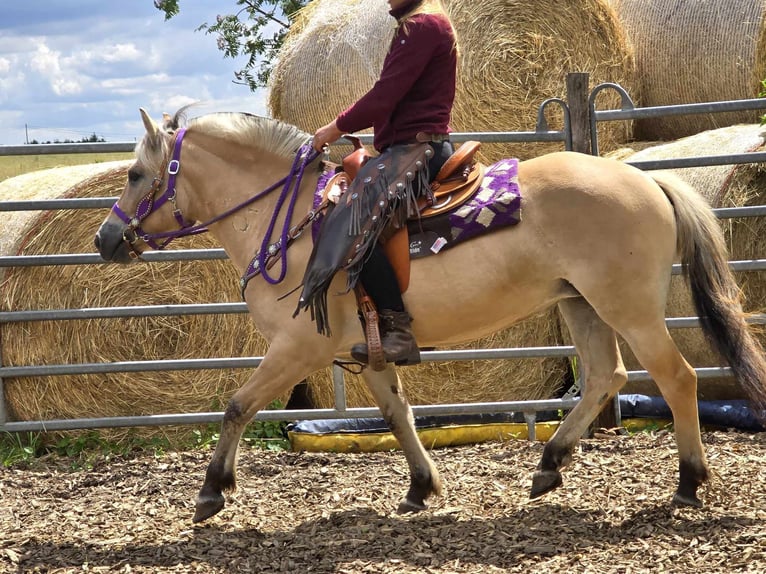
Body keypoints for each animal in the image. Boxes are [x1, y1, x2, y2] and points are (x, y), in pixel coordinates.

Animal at [94, 108, 766, 528]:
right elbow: (399, 414)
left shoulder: (297, 348)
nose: (104, 240)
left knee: (676, 379)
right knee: (608, 377)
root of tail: (648, 182)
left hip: (627, 308)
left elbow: (237, 405)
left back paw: (689, 479)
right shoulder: (366, 352)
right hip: (582, 305)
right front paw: (422, 487)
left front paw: (213, 489)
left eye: (135, 173)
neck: (295, 225)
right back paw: (549, 465)